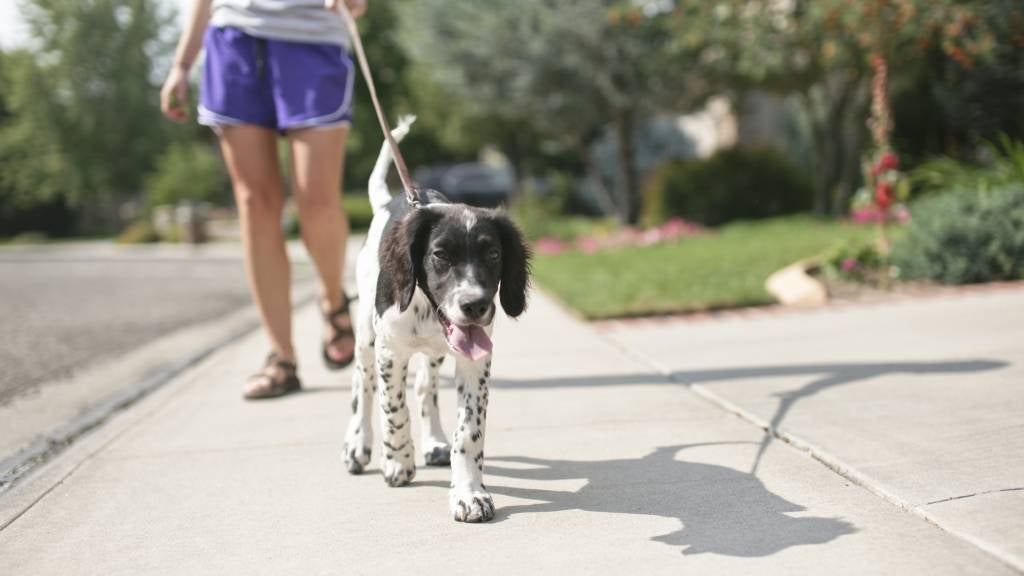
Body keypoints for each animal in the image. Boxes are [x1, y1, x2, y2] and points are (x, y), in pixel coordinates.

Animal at [344, 116, 532, 520]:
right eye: (440, 255)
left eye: (493, 254)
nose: (476, 305)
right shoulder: (390, 352)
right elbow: (393, 409)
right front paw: (397, 461)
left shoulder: (476, 360)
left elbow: (469, 431)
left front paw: (469, 493)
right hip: (366, 337)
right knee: (362, 385)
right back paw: (357, 445)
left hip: (434, 353)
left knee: (424, 388)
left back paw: (433, 442)